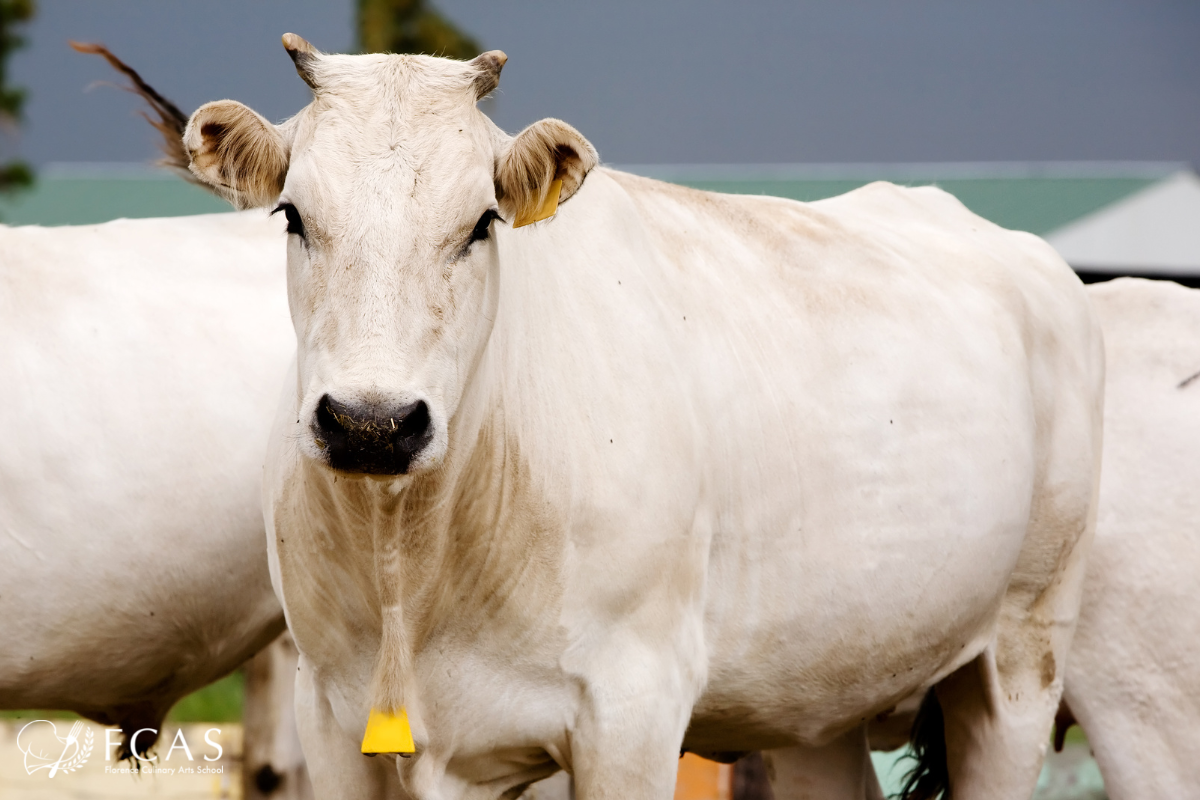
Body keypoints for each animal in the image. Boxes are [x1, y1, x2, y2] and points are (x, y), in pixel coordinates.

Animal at [174, 35, 1099, 800]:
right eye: (293, 215)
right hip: (823, 699)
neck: (414, 558)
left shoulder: (633, 711)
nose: (372, 423)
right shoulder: (334, 718)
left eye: (481, 223)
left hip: (1020, 663)